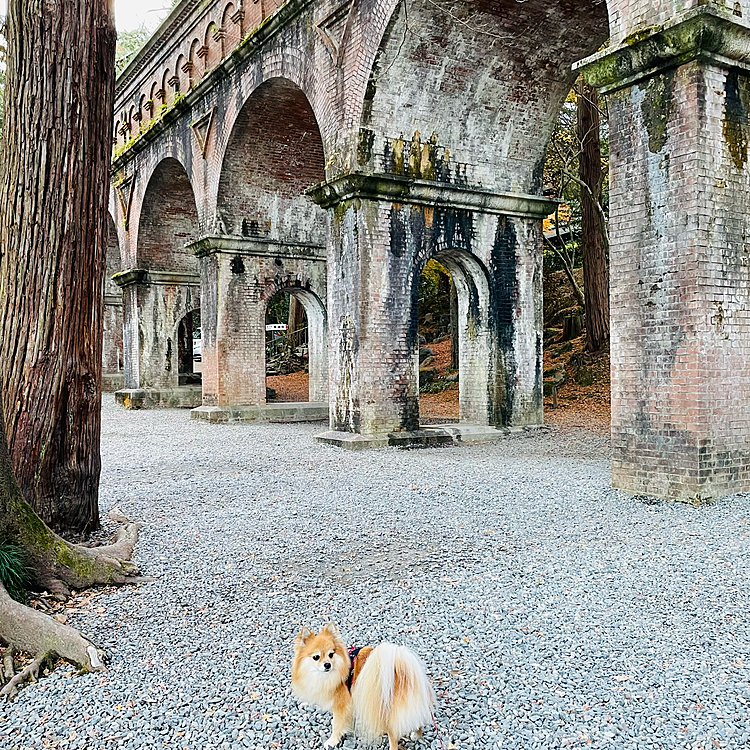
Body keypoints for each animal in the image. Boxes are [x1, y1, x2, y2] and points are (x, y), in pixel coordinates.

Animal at [292, 624, 434, 750]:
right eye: (316, 657)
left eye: (331, 654)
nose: (327, 664)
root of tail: (402, 669)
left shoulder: (340, 705)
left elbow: (336, 725)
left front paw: (332, 741)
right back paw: (416, 735)